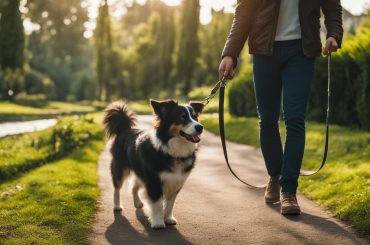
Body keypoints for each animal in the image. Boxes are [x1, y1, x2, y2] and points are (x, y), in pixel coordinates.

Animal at [102, 98, 204, 229]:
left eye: (195, 117)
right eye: (182, 117)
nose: (200, 127)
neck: (173, 149)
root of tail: (125, 129)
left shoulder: (176, 181)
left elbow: (170, 203)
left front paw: (168, 218)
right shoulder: (153, 180)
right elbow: (157, 203)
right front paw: (158, 222)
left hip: (141, 172)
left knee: (134, 186)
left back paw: (138, 202)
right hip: (120, 167)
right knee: (117, 187)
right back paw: (117, 206)